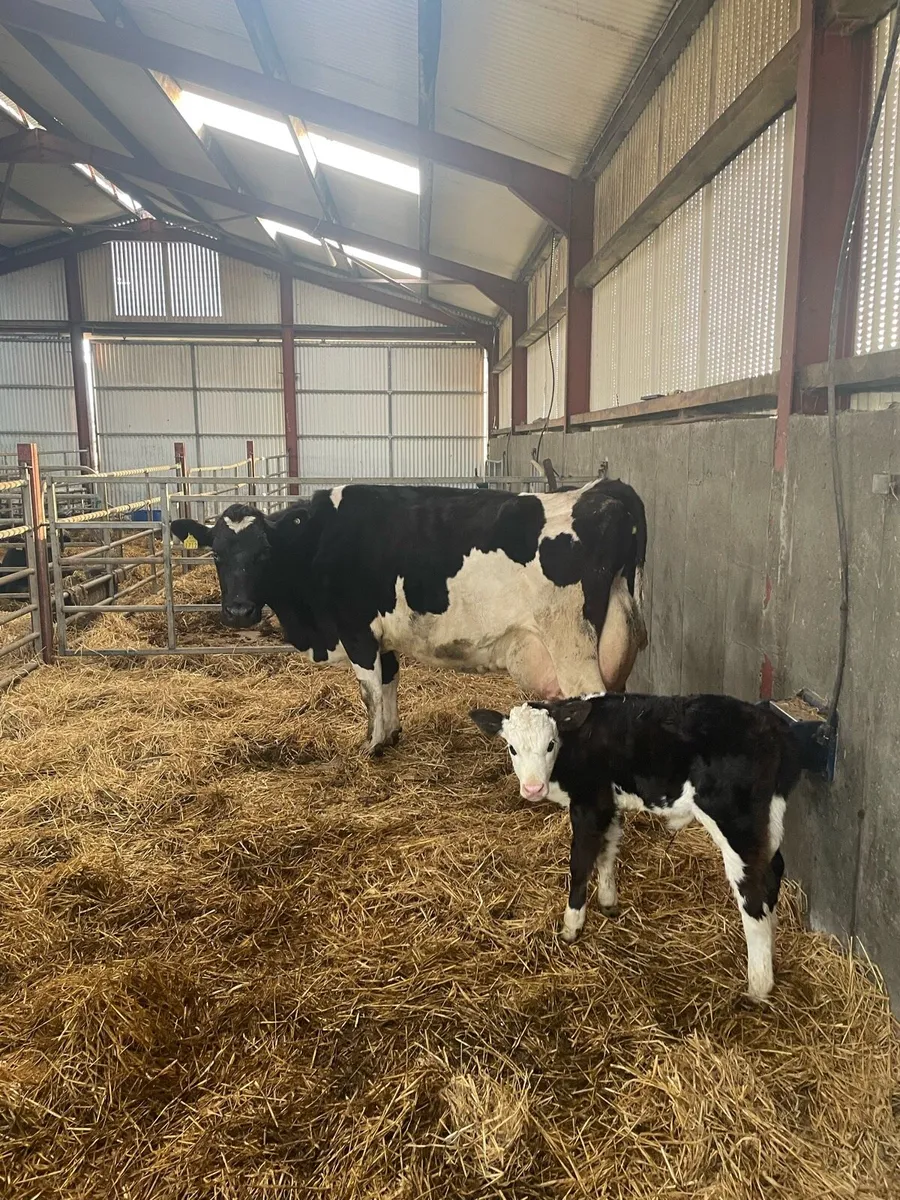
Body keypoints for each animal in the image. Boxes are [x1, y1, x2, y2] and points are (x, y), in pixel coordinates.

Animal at [171, 479, 648, 753]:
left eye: (264, 553)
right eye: (217, 554)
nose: (238, 611)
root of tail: (603, 491)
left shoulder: (357, 631)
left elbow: (368, 692)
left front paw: (370, 746)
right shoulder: (383, 637)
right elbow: (389, 682)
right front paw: (392, 734)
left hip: (572, 646)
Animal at [469, 693, 805, 1001]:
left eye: (550, 744)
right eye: (512, 748)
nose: (533, 788)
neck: (577, 744)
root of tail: (770, 726)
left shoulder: (588, 804)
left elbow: (581, 863)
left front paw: (571, 926)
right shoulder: (609, 805)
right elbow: (606, 852)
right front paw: (608, 902)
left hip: (733, 820)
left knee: (751, 893)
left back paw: (758, 986)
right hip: (768, 818)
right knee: (773, 871)